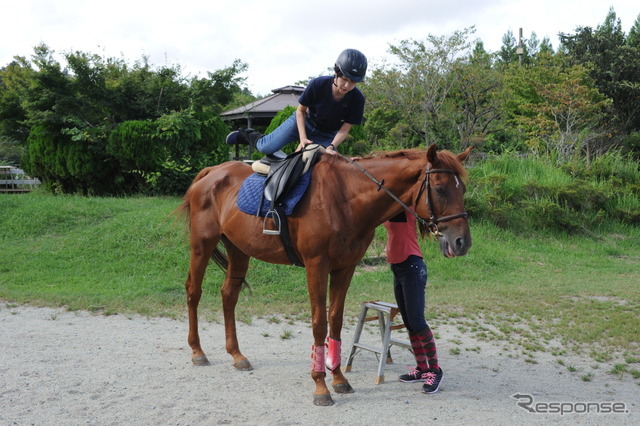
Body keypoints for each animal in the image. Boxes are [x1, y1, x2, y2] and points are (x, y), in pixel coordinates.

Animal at [178, 144, 472, 406]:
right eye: (439, 188)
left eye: (463, 189)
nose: (462, 242)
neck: (346, 198)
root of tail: (211, 172)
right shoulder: (316, 266)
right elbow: (319, 323)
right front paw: (320, 386)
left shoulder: (345, 268)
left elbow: (336, 320)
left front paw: (339, 378)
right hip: (202, 245)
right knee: (194, 291)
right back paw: (197, 351)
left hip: (238, 250)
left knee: (229, 294)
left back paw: (237, 355)